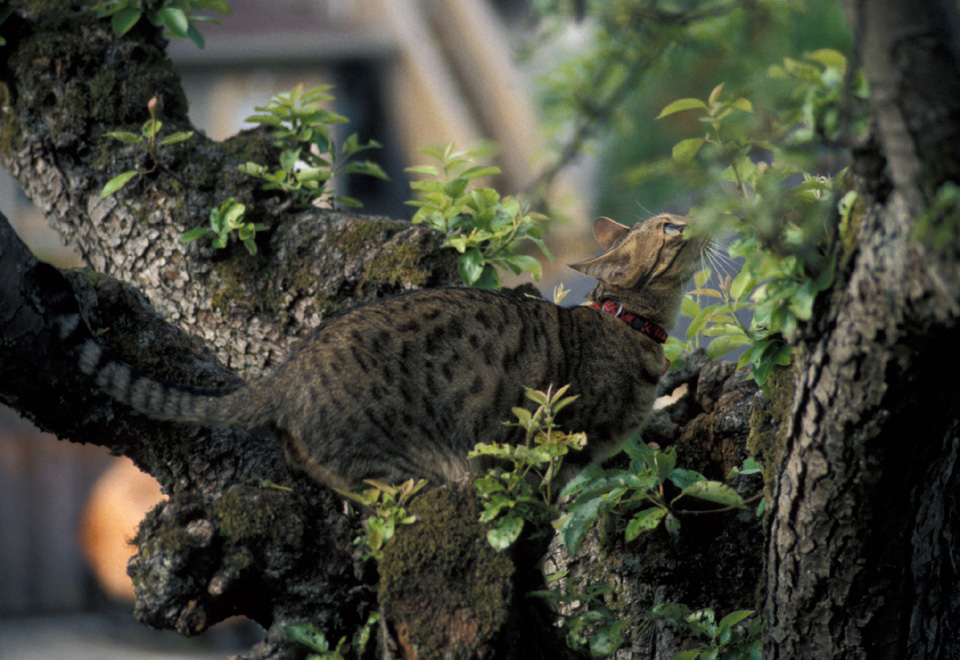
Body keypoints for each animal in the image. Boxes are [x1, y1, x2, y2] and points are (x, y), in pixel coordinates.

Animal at [79, 215, 704, 490]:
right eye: (669, 229)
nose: (692, 221)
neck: (627, 325)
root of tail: (287, 371)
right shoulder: (555, 449)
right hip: (410, 467)